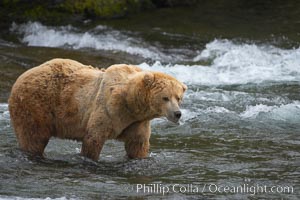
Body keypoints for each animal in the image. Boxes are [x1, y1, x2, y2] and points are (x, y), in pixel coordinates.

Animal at [8, 59, 186, 161]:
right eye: (165, 97)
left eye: (178, 97)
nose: (177, 114)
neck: (130, 104)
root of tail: (22, 76)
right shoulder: (108, 110)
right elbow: (93, 138)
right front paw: (90, 158)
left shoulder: (137, 122)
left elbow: (137, 145)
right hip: (36, 105)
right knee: (33, 137)